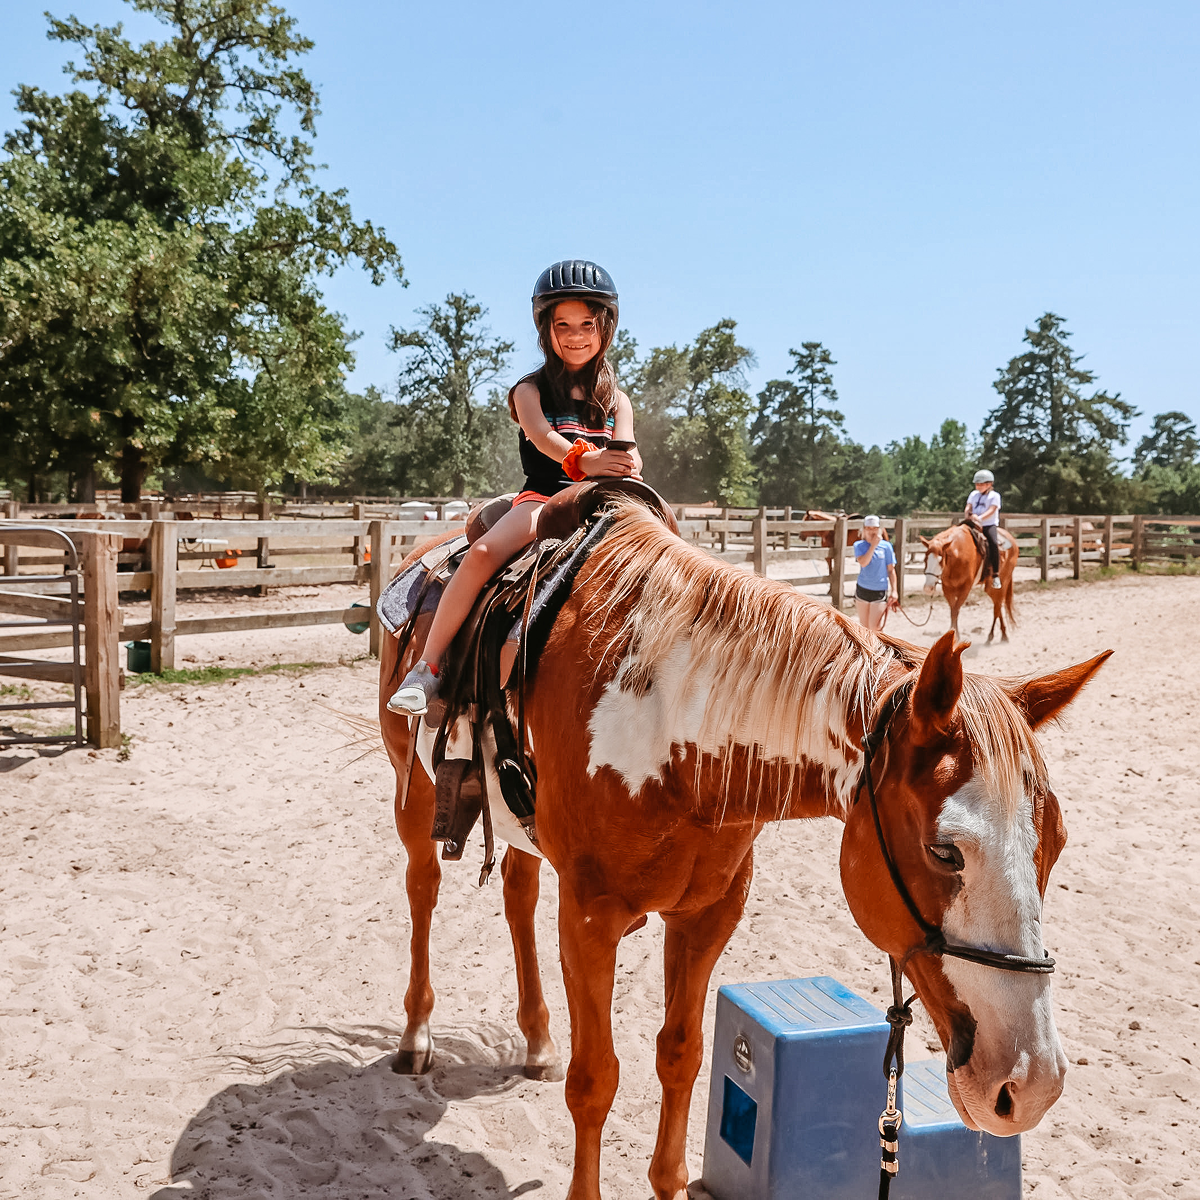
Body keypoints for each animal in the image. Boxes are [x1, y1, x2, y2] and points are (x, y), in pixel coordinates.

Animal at [378, 500, 1109, 1200]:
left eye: (1057, 845)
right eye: (946, 852)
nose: (1030, 1084)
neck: (669, 726)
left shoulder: (709, 915)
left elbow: (681, 1055)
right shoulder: (589, 919)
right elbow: (595, 1079)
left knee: (518, 892)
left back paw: (535, 1039)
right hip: (414, 795)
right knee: (421, 889)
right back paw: (415, 1037)